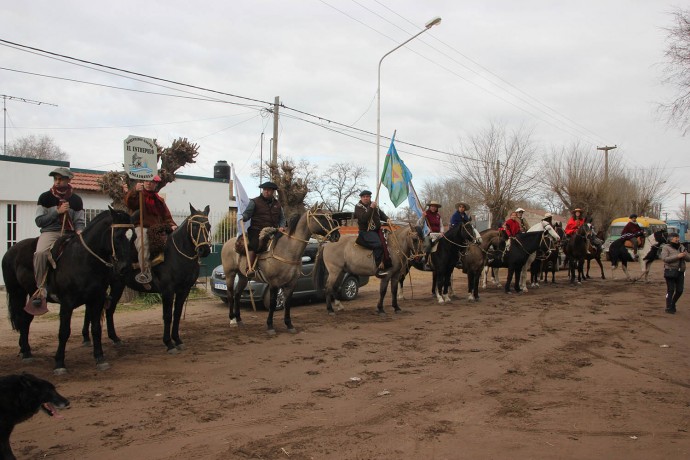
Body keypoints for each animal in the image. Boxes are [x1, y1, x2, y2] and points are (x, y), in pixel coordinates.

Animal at [2, 208, 133, 374]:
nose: (124, 268)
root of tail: (10, 251)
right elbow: (64, 332)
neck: (83, 259)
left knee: (25, 319)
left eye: (132, 236)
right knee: (21, 318)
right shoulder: (67, 303)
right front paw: (59, 363)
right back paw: (26, 353)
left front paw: (100, 358)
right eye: (117, 236)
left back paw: (25, 351)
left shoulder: (96, 300)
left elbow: (96, 328)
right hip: (16, 292)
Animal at [81, 204, 210, 352]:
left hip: (117, 286)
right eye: (194, 226)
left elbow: (177, 314)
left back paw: (113, 338)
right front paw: (169, 343)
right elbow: (167, 316)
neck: (178, 255)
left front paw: (177, 340)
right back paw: (89, 338)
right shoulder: (168, 290)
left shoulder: (184, 290)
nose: (205, 250)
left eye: (209, 226)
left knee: (108, 310)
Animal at [222, 204, 338, 334]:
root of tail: (229, 243)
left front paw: (289, 324)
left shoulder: (292, 283)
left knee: (237, 294)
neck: (287, 250)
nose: (337, 235)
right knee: (230, 294)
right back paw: (232, 320)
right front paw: (270, 326)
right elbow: (272, 303)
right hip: (230, 274)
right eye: (320, 217)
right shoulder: (274, 283)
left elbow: (287, 302)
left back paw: (239, 319)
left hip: (243, 277)